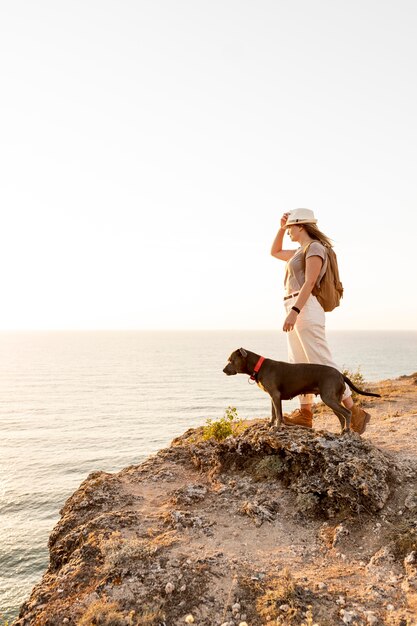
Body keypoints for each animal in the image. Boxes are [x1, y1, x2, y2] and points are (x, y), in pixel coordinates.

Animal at [223, 346, 378, 428]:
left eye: (231, 360)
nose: (223, 370)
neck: (259, 366)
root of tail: (340, 374)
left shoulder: (276, 395)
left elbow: (278, 413)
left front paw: (277, 426)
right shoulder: (272, 397)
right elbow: (273, 412)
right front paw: (270, 424)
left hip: (329, 398)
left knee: (347, 413)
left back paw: (347, 431)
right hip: (333, 399)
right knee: (341, 417)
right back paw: (342, 433)